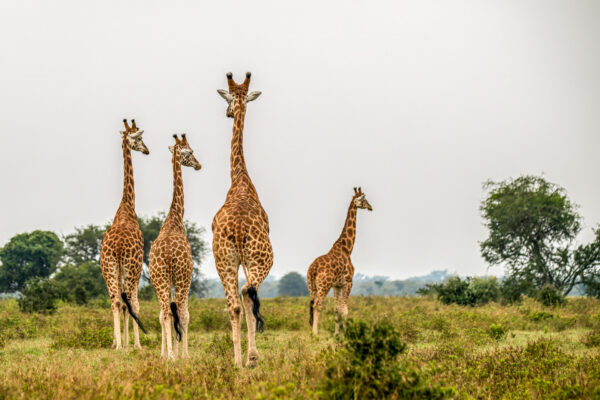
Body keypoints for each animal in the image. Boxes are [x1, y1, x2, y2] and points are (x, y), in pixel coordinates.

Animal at [308, 187, 372, 334]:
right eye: (364, 200)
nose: (371, 207)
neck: (347, 248)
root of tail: (313, 269)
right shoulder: (348, 282)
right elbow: (345, 310)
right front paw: (345, 333)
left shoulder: (336, 285)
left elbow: (336, 309)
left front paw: (337, 333)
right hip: (324, 286)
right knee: (318, 305)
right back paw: (315, 333)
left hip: (311, 286)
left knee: (312, 304)